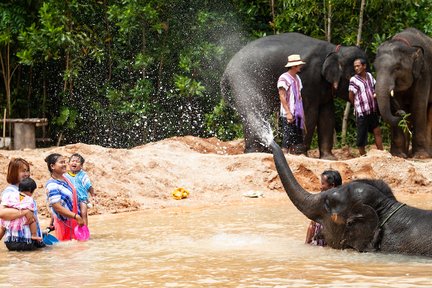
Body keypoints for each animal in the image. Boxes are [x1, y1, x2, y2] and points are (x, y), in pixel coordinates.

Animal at [221, 33, 366, 160]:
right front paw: (300, 154)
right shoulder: (309, 79)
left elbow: (327, 114)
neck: (334, 49)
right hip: (244, 82)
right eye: (354, 75)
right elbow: (308, 112)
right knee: (253, 112)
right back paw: (256, 153)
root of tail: (226, 71)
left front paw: (329, 159)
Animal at [372, 28, 430, 159]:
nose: (401, 113)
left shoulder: (425, 73)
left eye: (397, 68)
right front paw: (398, 155)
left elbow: (418, 106)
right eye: (375, 67)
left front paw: (421, 156)